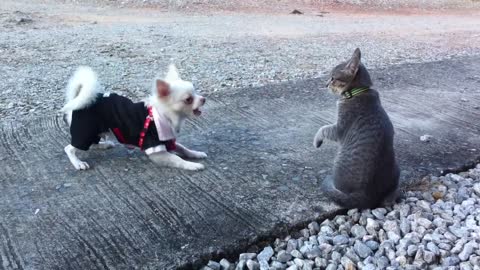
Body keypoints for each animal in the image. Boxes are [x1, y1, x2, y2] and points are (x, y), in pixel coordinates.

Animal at [314, 48, 400, 209]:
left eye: (333, 78)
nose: (325, 84)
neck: (359, 91)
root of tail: (367, 197)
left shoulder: (339, 129)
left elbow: (323, 128)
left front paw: (316, 140)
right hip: (397, 169)